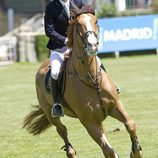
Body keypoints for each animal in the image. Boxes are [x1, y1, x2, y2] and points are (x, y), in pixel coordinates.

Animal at [22, 0, 143, 157]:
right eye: (78, 24)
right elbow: (108, 150)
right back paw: (70, 151)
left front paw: (136, 151)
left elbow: (130, 124)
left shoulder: (115, 106)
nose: (92, 45)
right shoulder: (88, 121)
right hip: (51, 113)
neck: (91, 78)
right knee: (62, 130)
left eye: (96, 21)